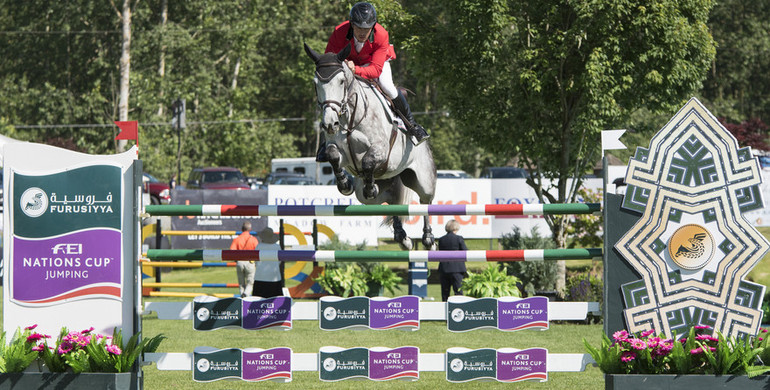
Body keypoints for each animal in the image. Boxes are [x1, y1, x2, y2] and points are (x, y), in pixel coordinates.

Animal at [304, 43, 436, 250]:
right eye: (315, 83)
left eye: (341, 81)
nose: (330, 124)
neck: (349, 117)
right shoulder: (338, 150)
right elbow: (333, 156)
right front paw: (345, 184)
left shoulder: (380, 149)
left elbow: (367, 161)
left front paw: (367, 184)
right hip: (377, 188)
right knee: (389, 200)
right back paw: (402, 237)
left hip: (423, 181)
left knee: (425, 202)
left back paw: (428, 239)